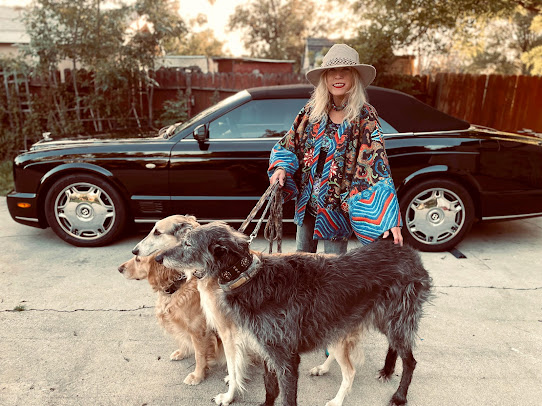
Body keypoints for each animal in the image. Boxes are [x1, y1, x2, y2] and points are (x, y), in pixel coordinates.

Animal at [118, 252, 222, 385]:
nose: (119, 269)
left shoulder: (199, 331)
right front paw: (182, 352)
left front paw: (197, 376)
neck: (177, 286)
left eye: (138, 259)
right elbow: (183, 339)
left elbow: (199, 356)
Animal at [156, 221, 433, 406]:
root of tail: (407, 251)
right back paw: (380, 370)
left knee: (409, 361)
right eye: (182, 240)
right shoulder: (266, 348)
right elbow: (270, 388)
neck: (248, 278)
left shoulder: (286, 357)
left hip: (398, 318)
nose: (158, 258)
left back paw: (399, 396)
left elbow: (284, 395)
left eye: (188, 244)